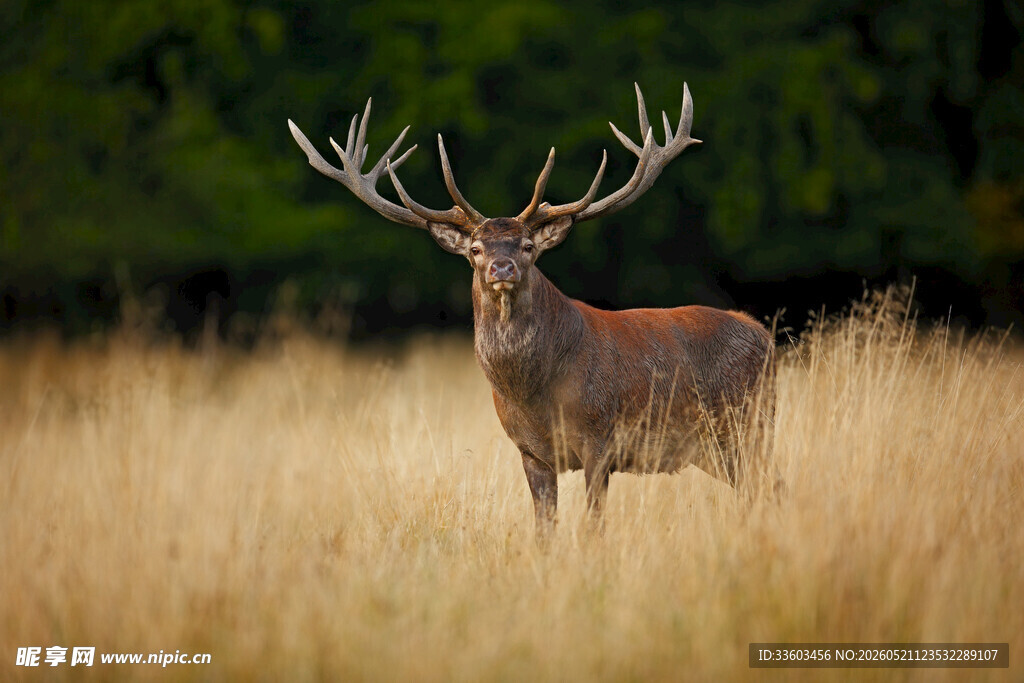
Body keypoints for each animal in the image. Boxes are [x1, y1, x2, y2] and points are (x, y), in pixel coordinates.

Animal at [288, 83, 775, 540]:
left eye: (526, 246)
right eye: (476, 249)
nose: (501, 267)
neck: (536, 393)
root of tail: (766, 336)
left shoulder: (601, 439)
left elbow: (594, 526)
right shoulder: (529, 451)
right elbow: (544, 530)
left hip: (747, 426)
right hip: (718, 447)